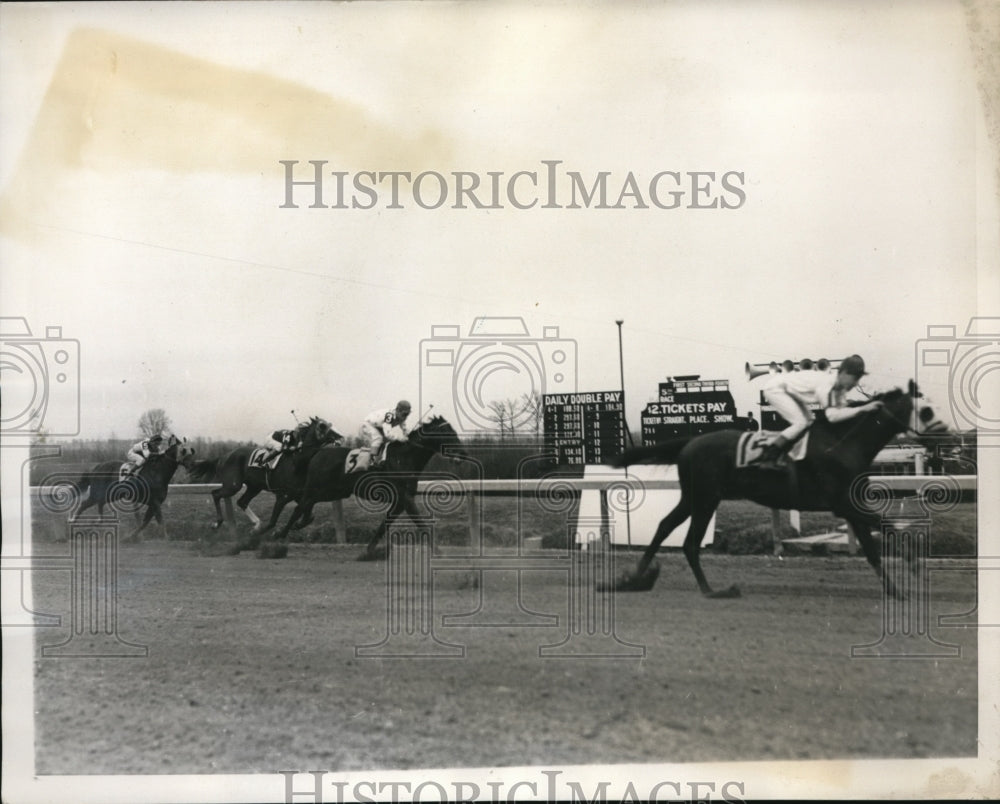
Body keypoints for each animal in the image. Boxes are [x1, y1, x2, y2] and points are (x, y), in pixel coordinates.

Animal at [272, 414, 462, 560]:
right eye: (448, 432)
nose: (462, 452)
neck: (404, 457)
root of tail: (318, 452)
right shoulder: (405, 498)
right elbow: (421, 523)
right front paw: (439, 551)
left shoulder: (400, 501)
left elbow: (385, 523)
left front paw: (369, 550)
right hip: (319, 487)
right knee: (299, 506)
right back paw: (278, 535)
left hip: (333, 491)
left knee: (305, 504)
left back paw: (297, 524)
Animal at [608, 380, 928, 600]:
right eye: (927, 410)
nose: (937, 431)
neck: (843, 443)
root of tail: (689, 442)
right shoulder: (843, 504)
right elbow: (888, 525)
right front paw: (914, 564)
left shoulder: (852, 504)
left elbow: (873, 549)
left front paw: (896, 590)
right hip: (705, 498)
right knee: (688, 541)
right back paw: (710, 590)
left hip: (695, 497)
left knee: (666, 526)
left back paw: (635, 579)